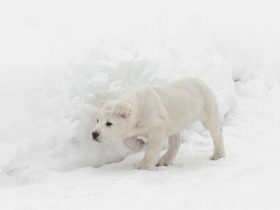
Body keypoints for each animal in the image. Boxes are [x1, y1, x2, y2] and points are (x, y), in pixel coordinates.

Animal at [92, 78, 225, 170]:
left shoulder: (157, 124)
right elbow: (127, 139)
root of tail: (201, 81)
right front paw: (139, 144)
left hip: (207, 105)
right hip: (175, 121)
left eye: (109, 123)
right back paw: (164, 161)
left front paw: (143, 166)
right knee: (175, 140)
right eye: (97, 120)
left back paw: (217, 155)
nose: (94, 134)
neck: (139, 108)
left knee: (215, 129)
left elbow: (153, 145)